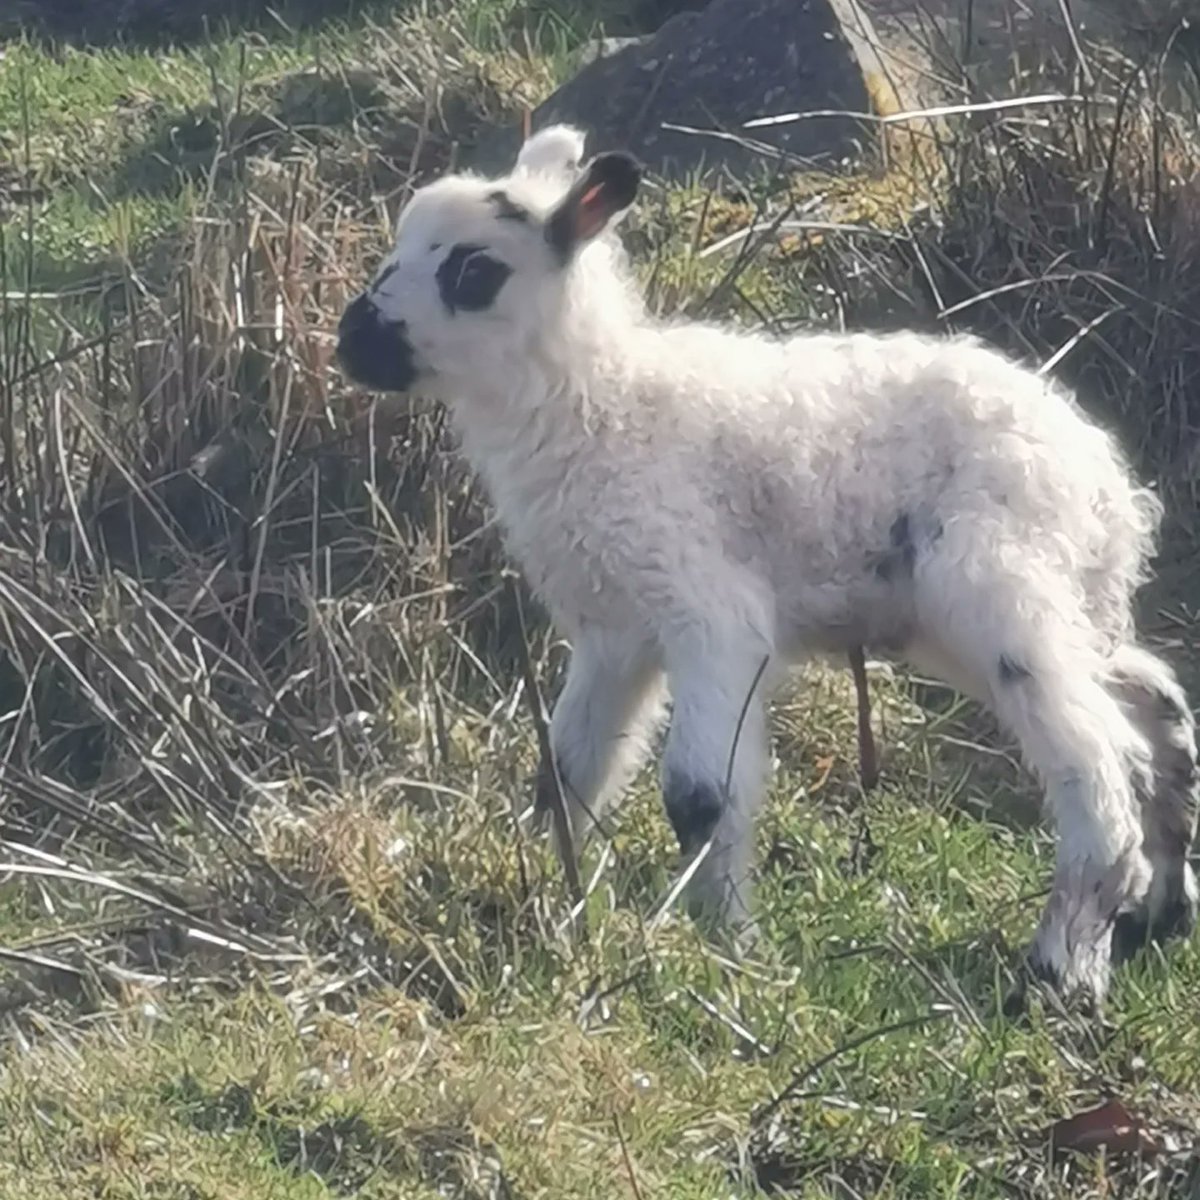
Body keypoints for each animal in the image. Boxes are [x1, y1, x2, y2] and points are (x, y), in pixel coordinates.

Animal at [338, 121, 1200, 1008]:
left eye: (473, 272)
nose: (350, 341)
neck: (598, 404)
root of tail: (1109, 491)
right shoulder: (614, 634)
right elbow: (568, 768)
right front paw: (550, 897)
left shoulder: (710, 617)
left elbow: (699, 796)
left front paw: (729, 953)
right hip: (1019, 612)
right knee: (1153, 703)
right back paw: (1157, 913)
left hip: (1000, 587)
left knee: (1098, 766)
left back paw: (1064, 970)